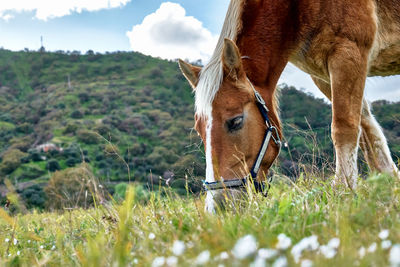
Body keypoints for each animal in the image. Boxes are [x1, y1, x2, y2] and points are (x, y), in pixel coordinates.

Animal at [178, 0, 400, 214]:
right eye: (199, 130)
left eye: (236, 121)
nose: (218, 206)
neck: (295, 7)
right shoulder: (323, 75)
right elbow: (366, 130)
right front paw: (388, 187)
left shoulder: (348, 54)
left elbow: (345, 128)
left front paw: (343, 192)